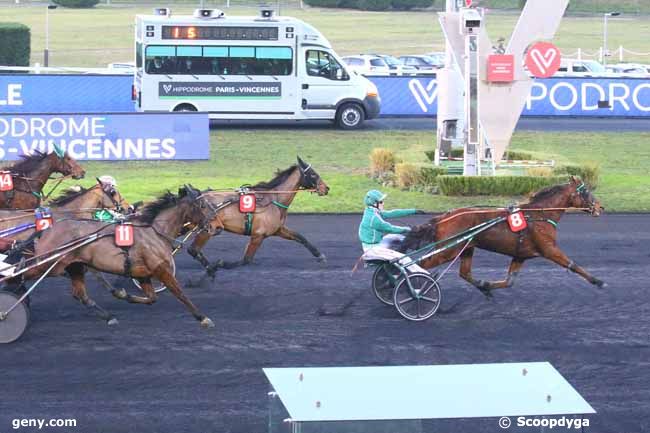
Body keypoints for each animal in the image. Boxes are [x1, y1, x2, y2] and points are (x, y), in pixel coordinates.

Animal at [19, 186, 218, 328]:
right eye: (203, 205)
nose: (213, 225)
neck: (155, 232)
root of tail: (47, 229)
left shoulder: (142, 274)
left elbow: (151, 298)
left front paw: (124, 294)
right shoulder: (161, 270)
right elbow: (180, 294)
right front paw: (203, 318)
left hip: (74, 266)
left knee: (80, 294)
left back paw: (108, 316)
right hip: (49, 264)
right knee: (21, 274)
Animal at [187, 157, 330, 276]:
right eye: (313, 174)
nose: (326, 188)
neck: (273, 199)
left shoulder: (278, 229)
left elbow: (300, 237)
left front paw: (319, 255)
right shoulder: (258, 235)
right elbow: (246, 260)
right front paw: (221, 264)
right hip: (207, 229)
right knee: (193, 250)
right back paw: (210, 269)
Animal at [398, 176, 604, 296]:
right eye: (586, 191)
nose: (600, 207)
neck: (540, 215)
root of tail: (443, 217)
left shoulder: (521, 254)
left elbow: (509, 281)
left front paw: (487, 285)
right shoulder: (549, 249)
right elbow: (573, 264)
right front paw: (598, 281)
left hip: (467, 248)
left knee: (464, 273)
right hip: (449, 251)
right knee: (420, 264)